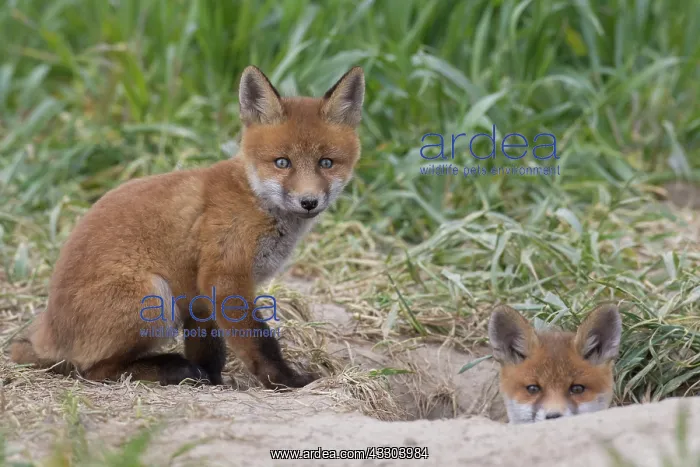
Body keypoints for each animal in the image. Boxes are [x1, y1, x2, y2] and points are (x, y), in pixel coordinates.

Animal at [9, 65, 365, 389]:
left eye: (326, 163)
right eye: (282, 162)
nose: (309, 202)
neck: (254, 199)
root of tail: (50, 326)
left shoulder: (200, 291)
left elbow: (208, 346)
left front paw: (212, 380)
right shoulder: (225, 277)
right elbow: (259, 343)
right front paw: (285, 381)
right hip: (154, 298)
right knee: (93, 370)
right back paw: (166, 369)